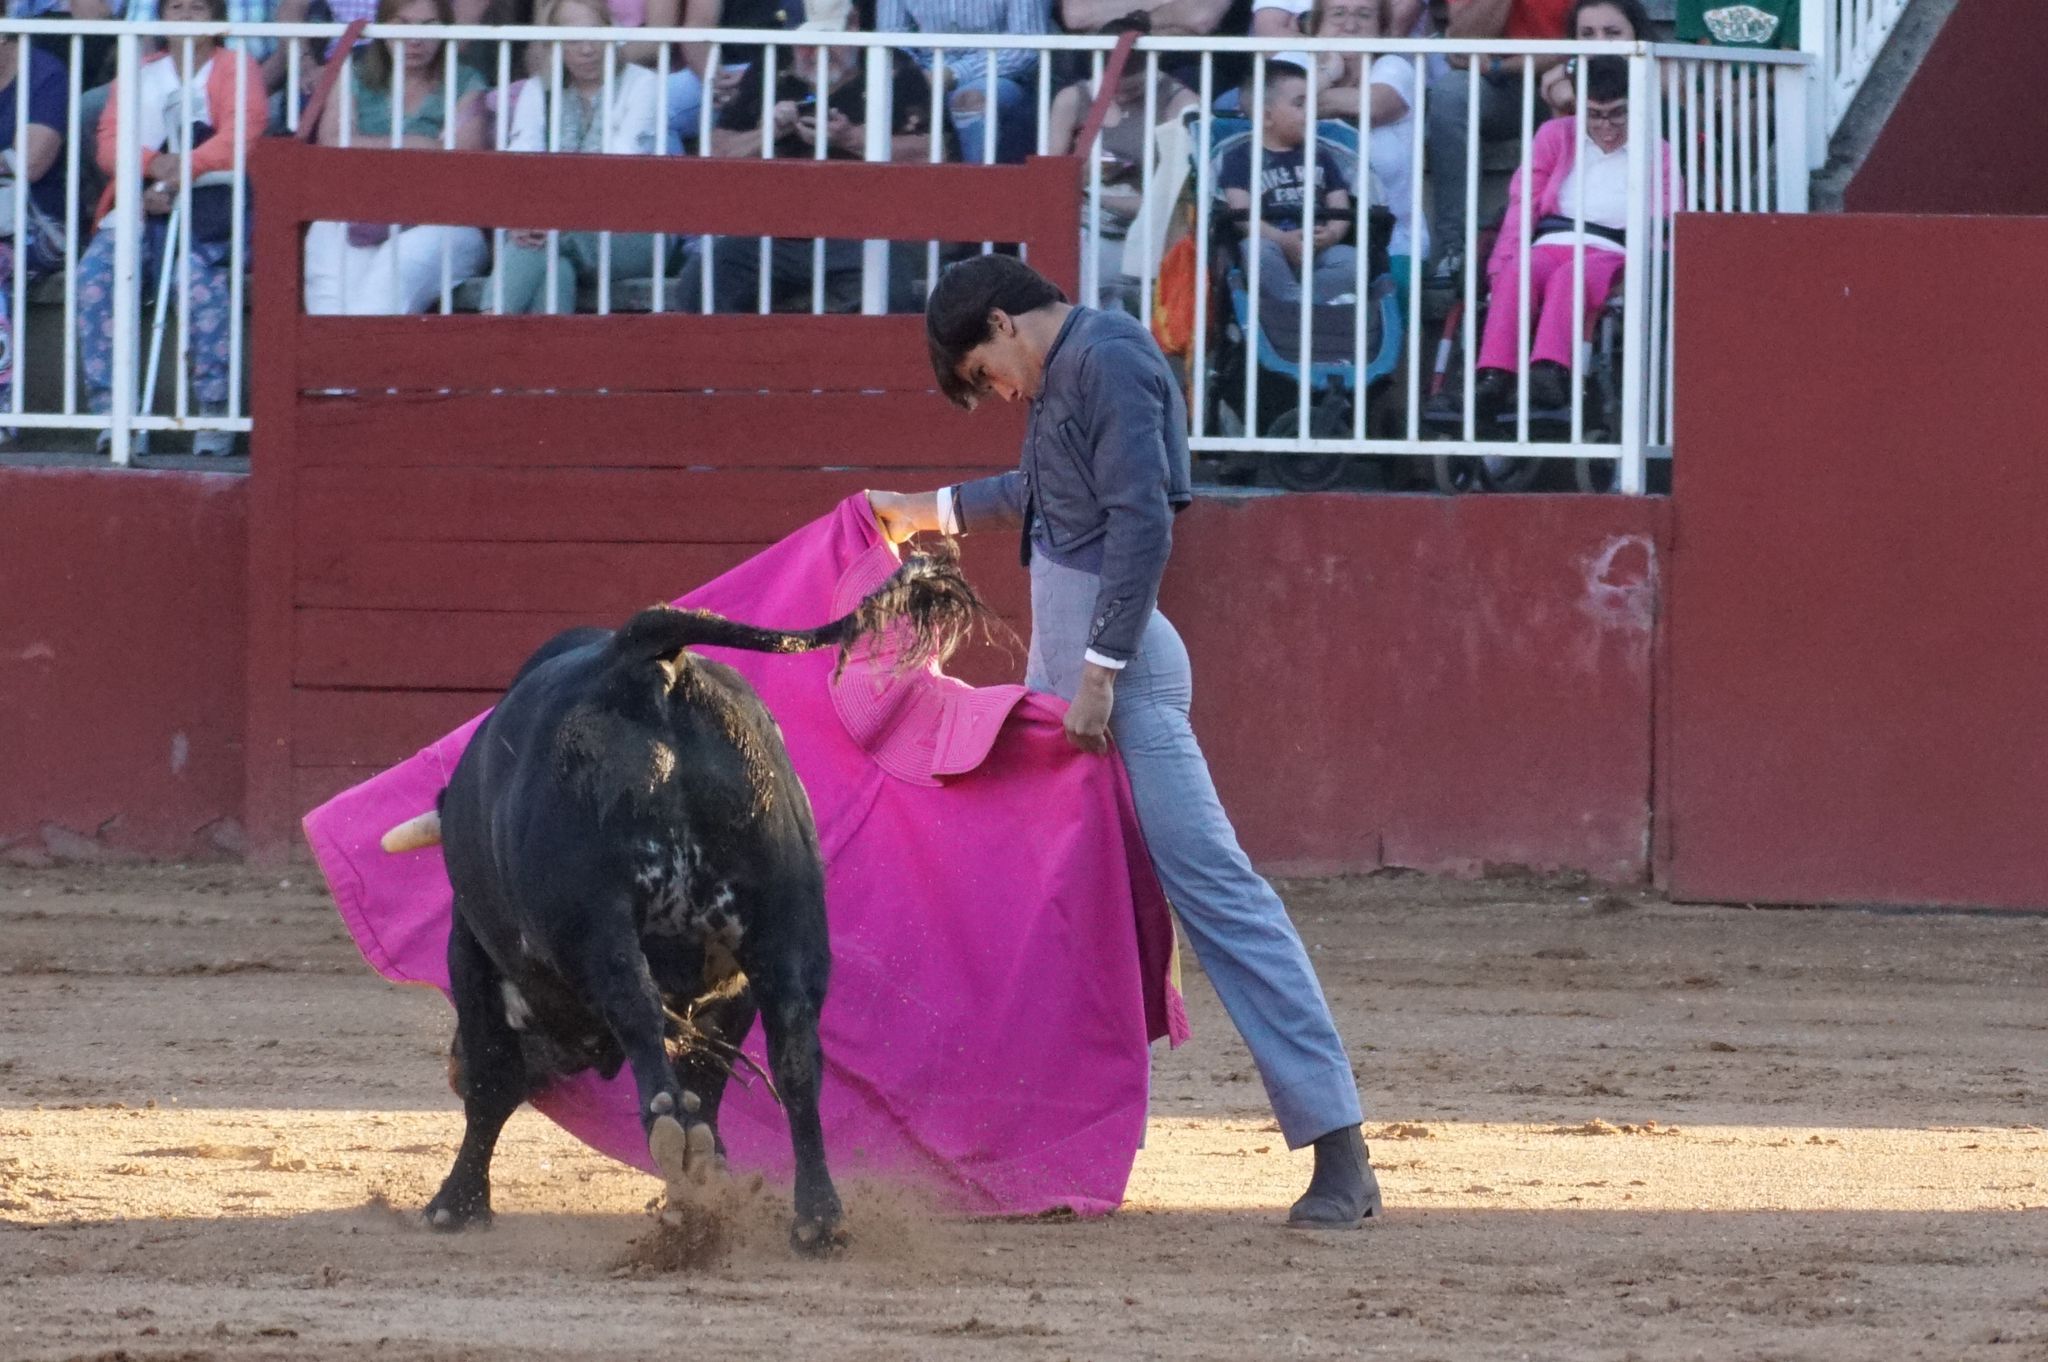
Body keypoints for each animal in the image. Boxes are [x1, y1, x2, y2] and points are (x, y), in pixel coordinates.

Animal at [387, 552, 995, 1253]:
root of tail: (641, 655)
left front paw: (455, 1206)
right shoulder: (732, 980)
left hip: (594, 919)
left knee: (635, 1005)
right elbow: (714, 1065)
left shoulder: (473, 956)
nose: (449, 1068)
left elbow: (493, 1079)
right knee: (794, 1051)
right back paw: (814, 1215)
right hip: (786, 921)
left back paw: (668, 1129)